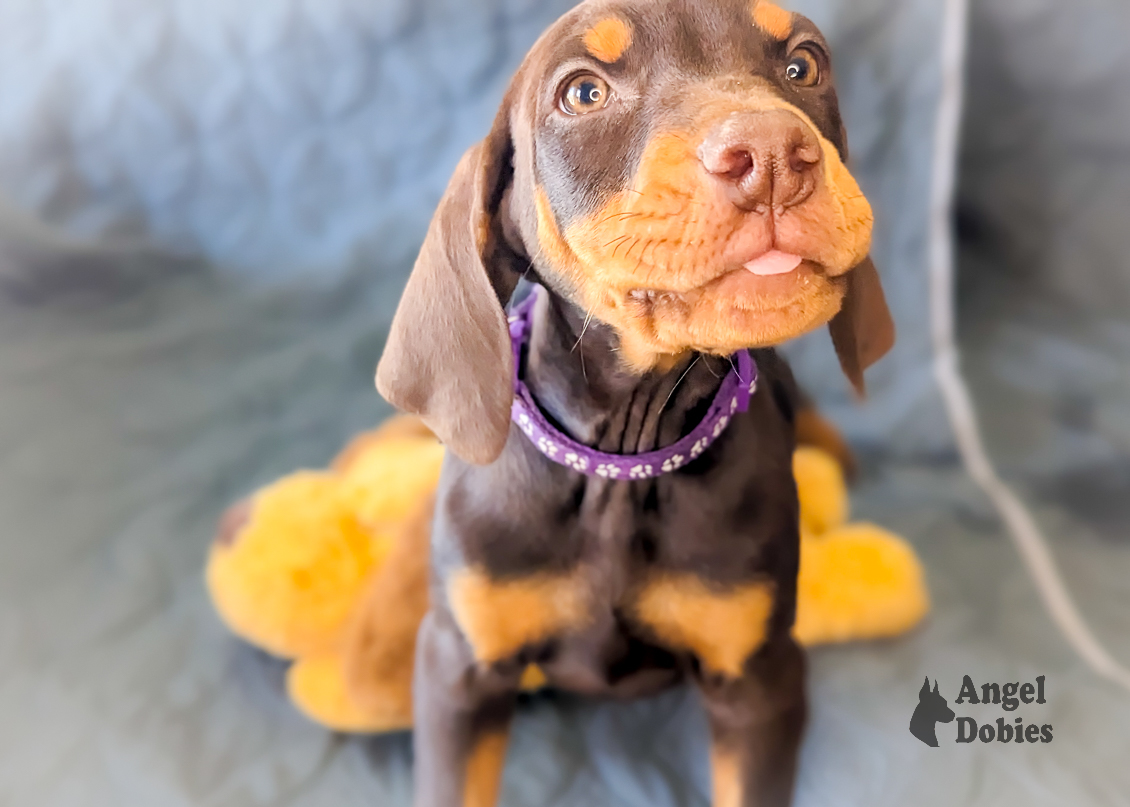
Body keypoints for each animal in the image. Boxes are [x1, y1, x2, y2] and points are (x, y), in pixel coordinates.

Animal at [375, 3, 894, 800]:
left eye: (803, 64)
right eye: (583, 92)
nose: (773, 152)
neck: (623, 458)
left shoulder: (761, 681)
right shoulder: (459, 666)